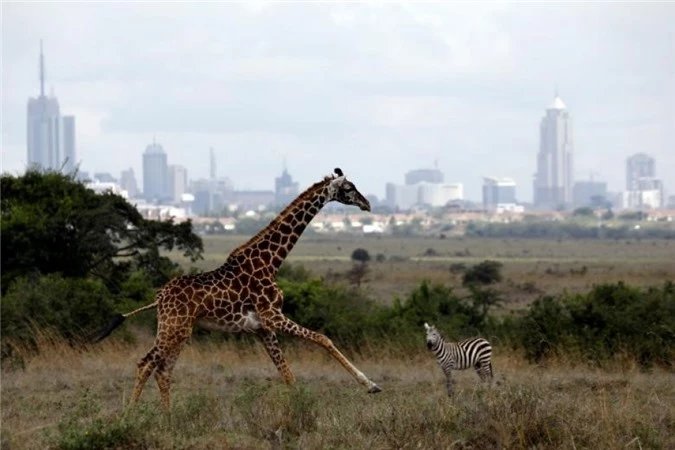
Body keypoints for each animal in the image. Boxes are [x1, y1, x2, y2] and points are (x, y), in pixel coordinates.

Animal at [91, 168, 380, 412]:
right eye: (349, 187)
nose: (367, 204)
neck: (270, 262)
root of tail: (158, 298)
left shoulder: (262, 327)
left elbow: (288, 374)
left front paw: (301, 410)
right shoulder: (272, 317)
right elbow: (323, 338)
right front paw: (370, 385)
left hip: (177, 330)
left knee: (163, 369)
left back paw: (168, 419)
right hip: (174, 327)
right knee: (147, 363)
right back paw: (130, 416)